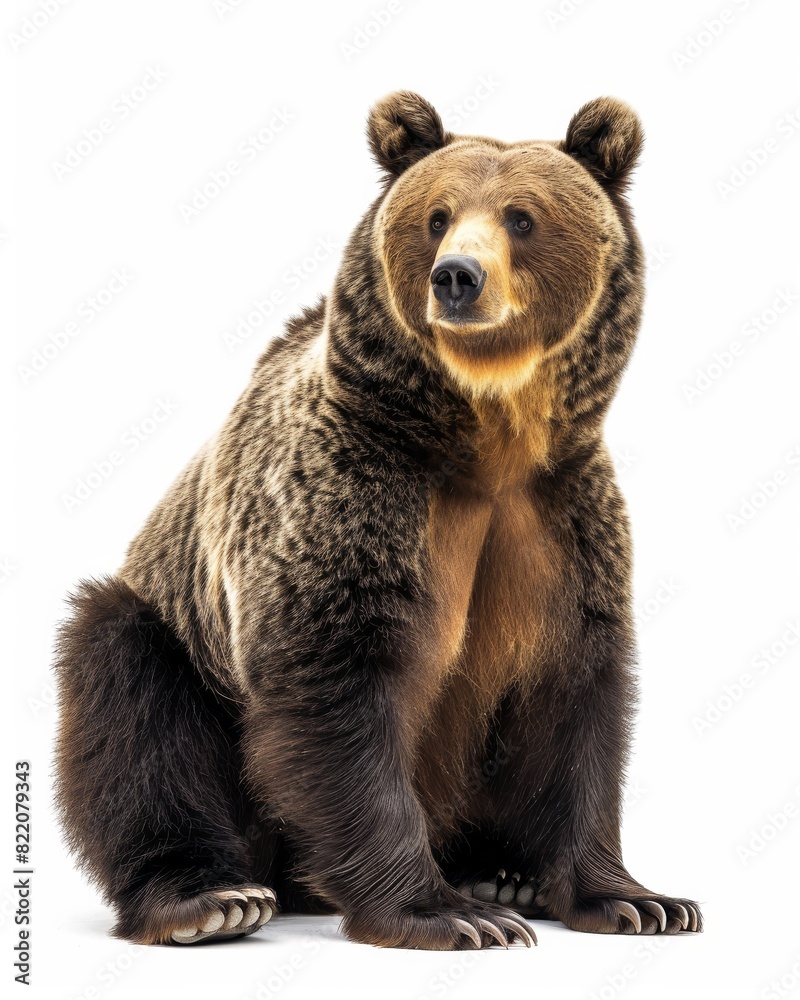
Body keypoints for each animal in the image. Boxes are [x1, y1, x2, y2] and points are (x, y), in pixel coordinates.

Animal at [55, 90, 702, 950]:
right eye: (436, 216)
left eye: (522, 217)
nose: (456, 277)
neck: (486, 443)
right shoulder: (352, 499)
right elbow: (338, 688)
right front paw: (448, 913)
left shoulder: (562, 522)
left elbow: (573, 700)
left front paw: (638, 900)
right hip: (180, 637)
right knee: (128, 691)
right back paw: (211, 898)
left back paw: (503, 871)